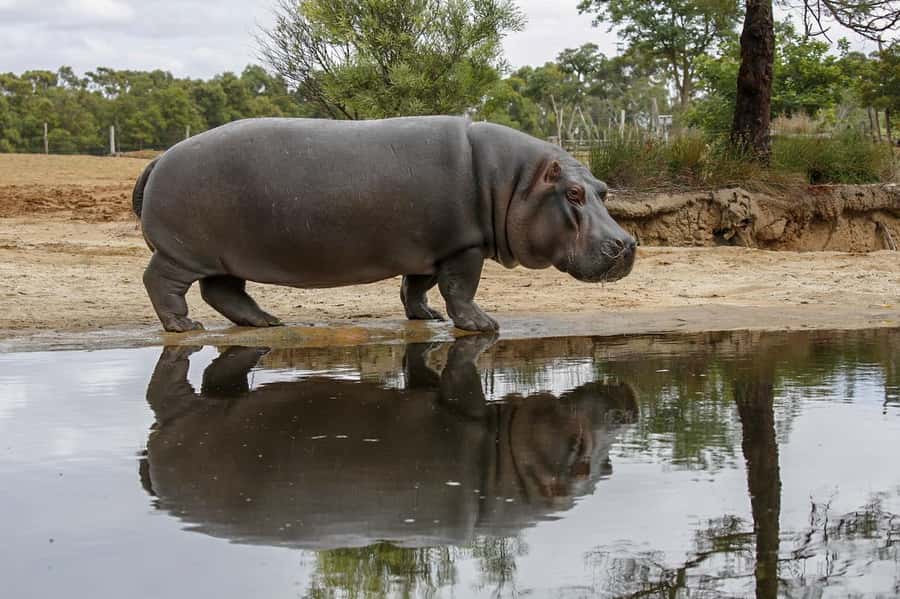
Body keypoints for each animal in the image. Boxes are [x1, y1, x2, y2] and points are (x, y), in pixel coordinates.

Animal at [132, 116, 636, 333]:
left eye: (603, 189)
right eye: (573, 194)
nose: (627, 244)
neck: (512, 182)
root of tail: (159, 159)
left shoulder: (431, 248)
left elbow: (417, 287)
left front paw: (426, 317)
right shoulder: (463, 247)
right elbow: (461, 289)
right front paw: (483, 326)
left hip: (222, 256)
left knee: (224, 291)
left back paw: (267, 321)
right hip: (183, 251)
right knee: (161, 282)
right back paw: (184, 328)